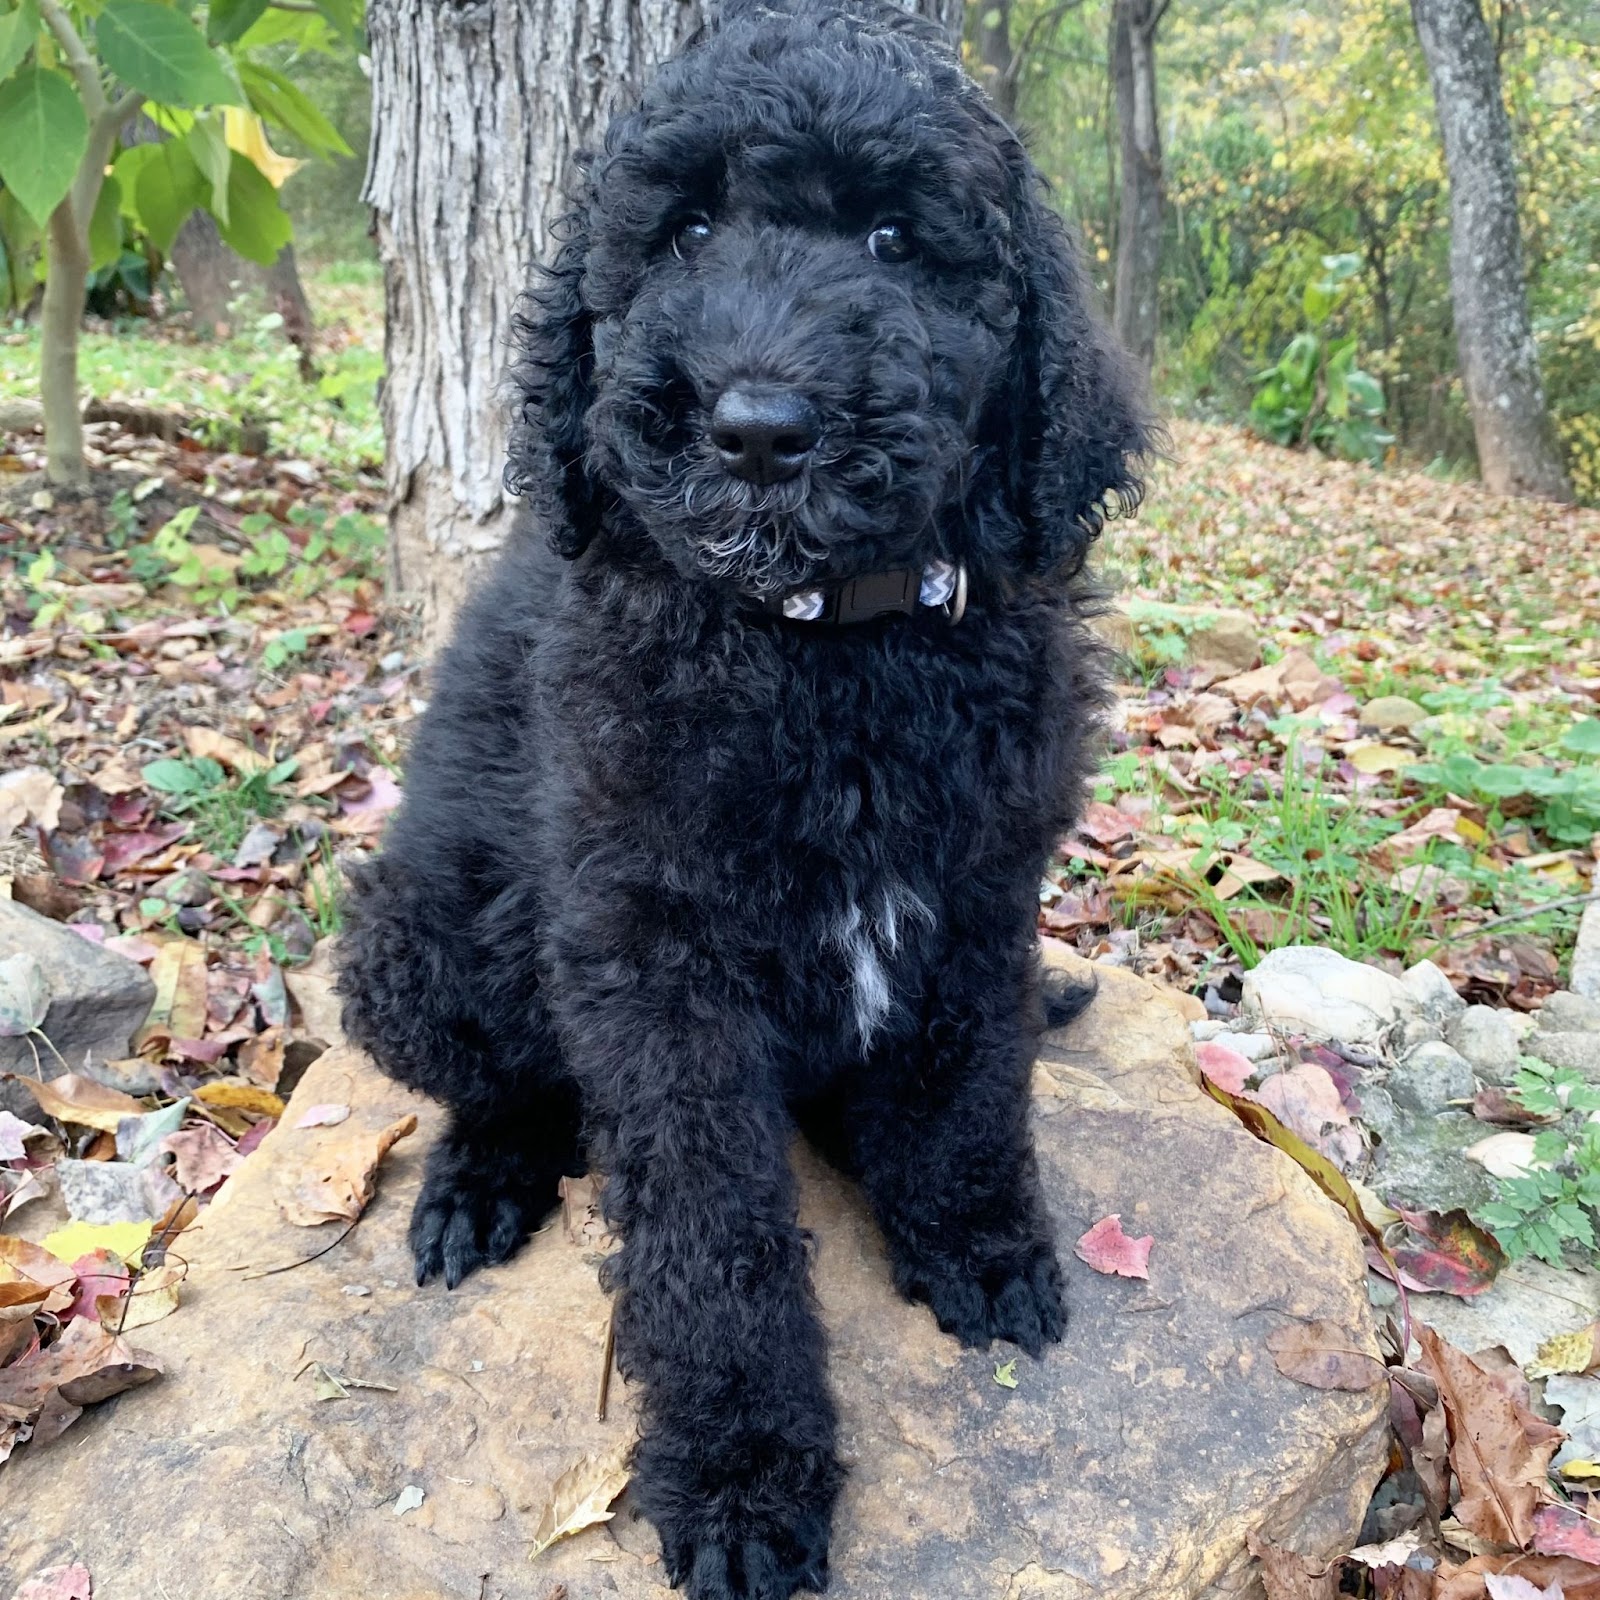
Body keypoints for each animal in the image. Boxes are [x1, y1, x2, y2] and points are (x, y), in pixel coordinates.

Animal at [340, 6, 1152, 1593]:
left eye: (898, 240)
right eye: (687, 231)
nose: (759, 427)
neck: (823, 645)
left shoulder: (976, 892)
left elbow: (971, 1082)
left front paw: (975, 1243)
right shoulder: (660, 958)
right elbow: (710, 1238)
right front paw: (738, 1483)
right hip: (422, 932)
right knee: (502, 1082)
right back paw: (478, 1185)